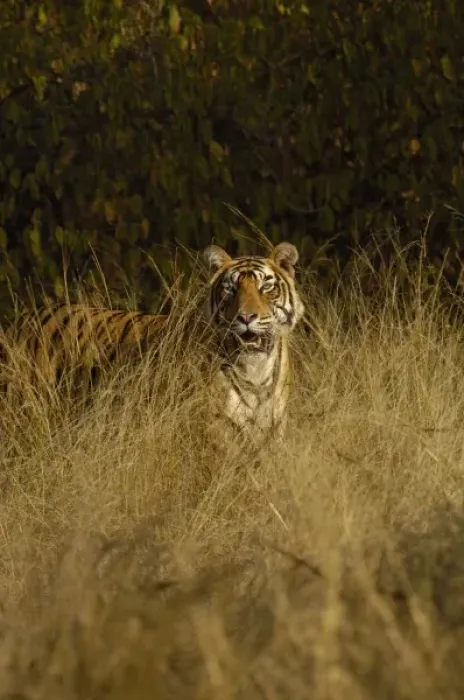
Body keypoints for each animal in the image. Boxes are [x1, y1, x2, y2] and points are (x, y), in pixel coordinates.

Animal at [0, 242, 304, 439]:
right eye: (230, 290)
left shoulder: (272, 427)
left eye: (267, 288)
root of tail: (23, 319)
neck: (255, 370)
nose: (245, 317)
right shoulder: (213, 427)